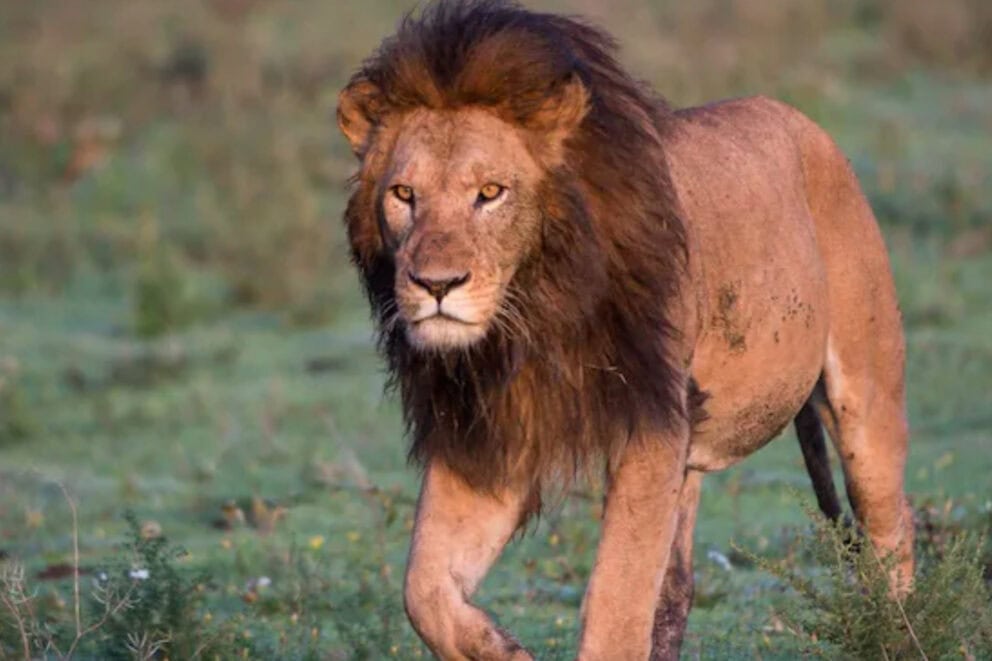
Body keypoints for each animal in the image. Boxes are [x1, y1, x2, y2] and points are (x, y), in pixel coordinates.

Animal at [336, 2, 913, 659]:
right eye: (404, 194)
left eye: (490, 192)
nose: (436, 285)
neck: (532, 314)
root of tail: (801, 121)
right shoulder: (491, 435)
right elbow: (423, 589)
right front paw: (503, 648)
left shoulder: (651, 424)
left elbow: (616, 599)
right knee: (677, 591)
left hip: (865, 395)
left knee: (892, 532)